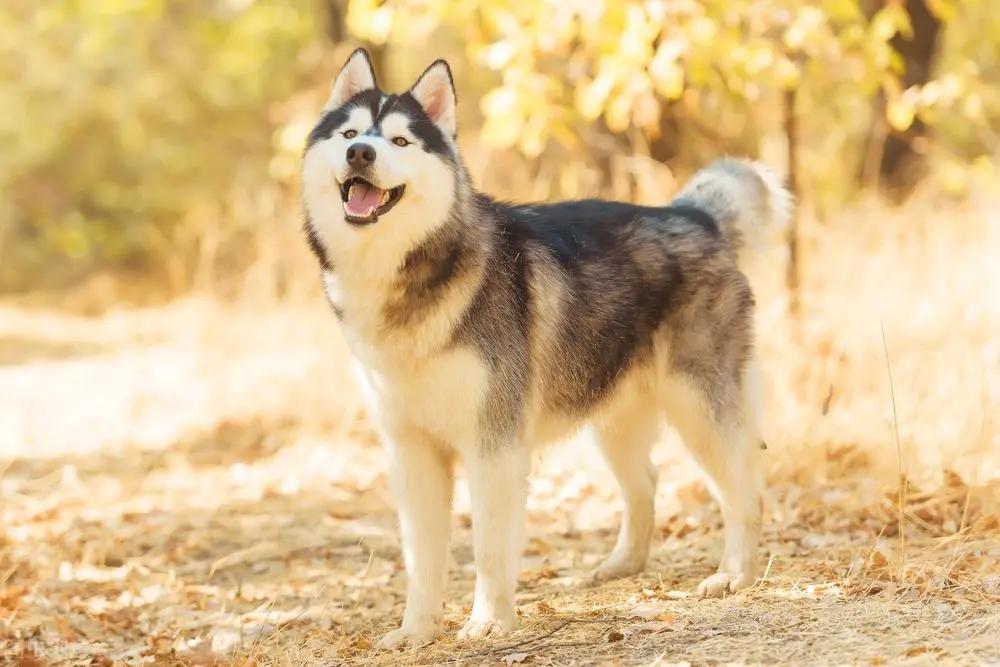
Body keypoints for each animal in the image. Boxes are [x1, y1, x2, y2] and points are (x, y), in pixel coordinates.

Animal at [300, 49, 792, 648]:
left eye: (398, 141)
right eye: (349, 133)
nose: (361, 153)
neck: (413, 277)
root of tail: (693, 215)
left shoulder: (494, 446)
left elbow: (490, 546)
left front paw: (488, 622)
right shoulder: (412, 451)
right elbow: (423, 559)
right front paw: (415, 631)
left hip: (701, 408)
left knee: (744, 488)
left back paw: (734, 574)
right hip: (614, 416)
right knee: (645, 482)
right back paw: (623, 565)